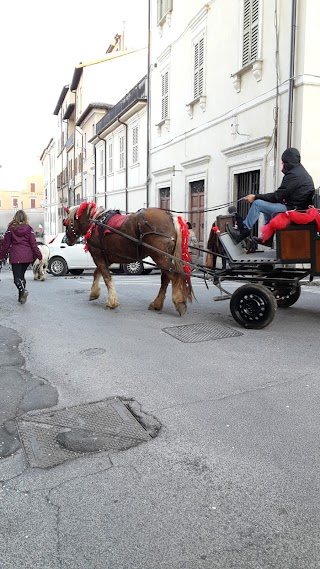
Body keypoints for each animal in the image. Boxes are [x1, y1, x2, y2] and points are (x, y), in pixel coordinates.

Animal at [62, 202, 192, 316]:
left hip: (160, 256)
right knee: (166, 278)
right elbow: (97, 273)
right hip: (164, 257)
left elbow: (106, 277)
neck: (95, 223)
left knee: (174, 275)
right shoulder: (105, 258)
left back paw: (179, 302)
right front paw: (94, 293)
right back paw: (157, 304)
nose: (67, 240)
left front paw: (111, 302)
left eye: (66, 223)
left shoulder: (98, 255)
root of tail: (170, 217)